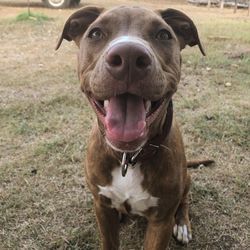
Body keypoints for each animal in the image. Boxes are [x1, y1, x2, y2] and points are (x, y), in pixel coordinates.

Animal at [56, 5, 211, 250]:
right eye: (95, 33)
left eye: (164, 35)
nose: (128, 56)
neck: (128, 158)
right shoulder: (101, 208)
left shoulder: (161, 221)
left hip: (186, 180)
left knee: (184, 201)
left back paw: (183, 224)